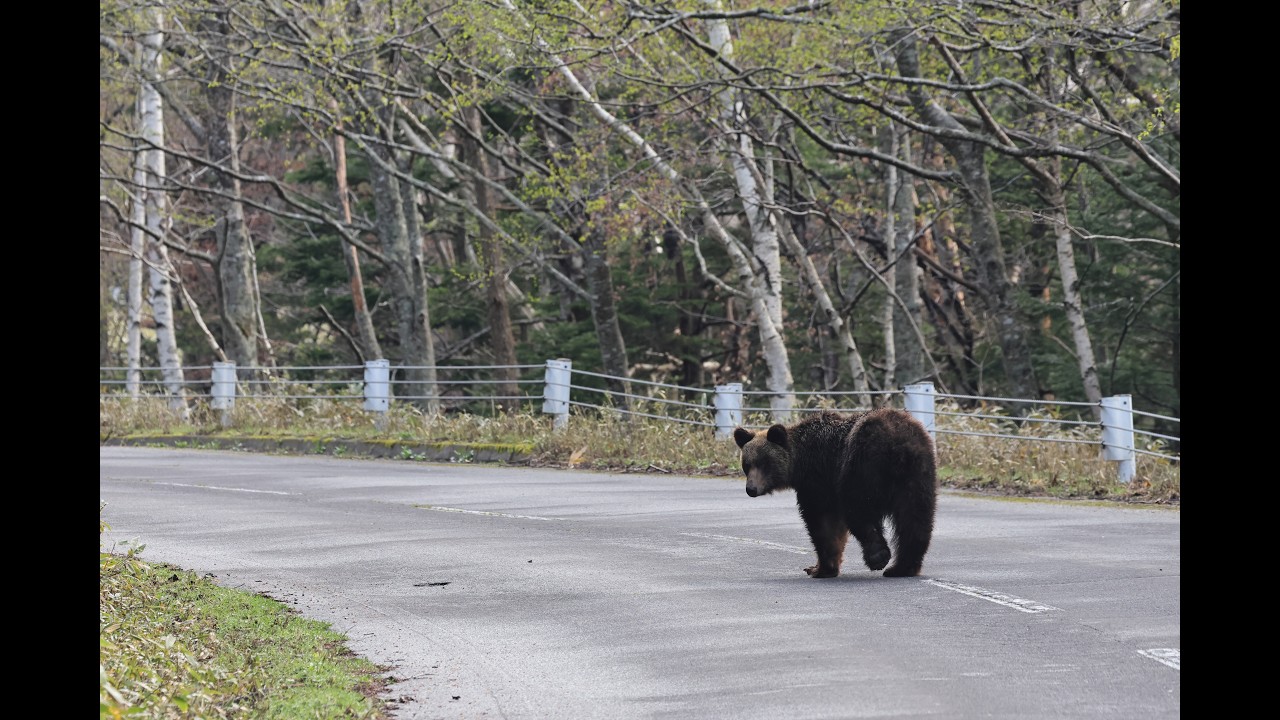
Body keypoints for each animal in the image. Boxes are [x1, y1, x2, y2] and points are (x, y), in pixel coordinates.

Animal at [732, 408, 937, 578]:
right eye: (747, 464)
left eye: (764, 463)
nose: (751, 489)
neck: (799, 464)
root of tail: (898, 445)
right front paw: (817, 566)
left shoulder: (819, 481)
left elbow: (822, 523)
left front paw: (822, 568)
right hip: (918, 476)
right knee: (915, 519)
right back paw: (902, 567)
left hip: (861, 465)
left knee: (858, 511)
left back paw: (878, 557)